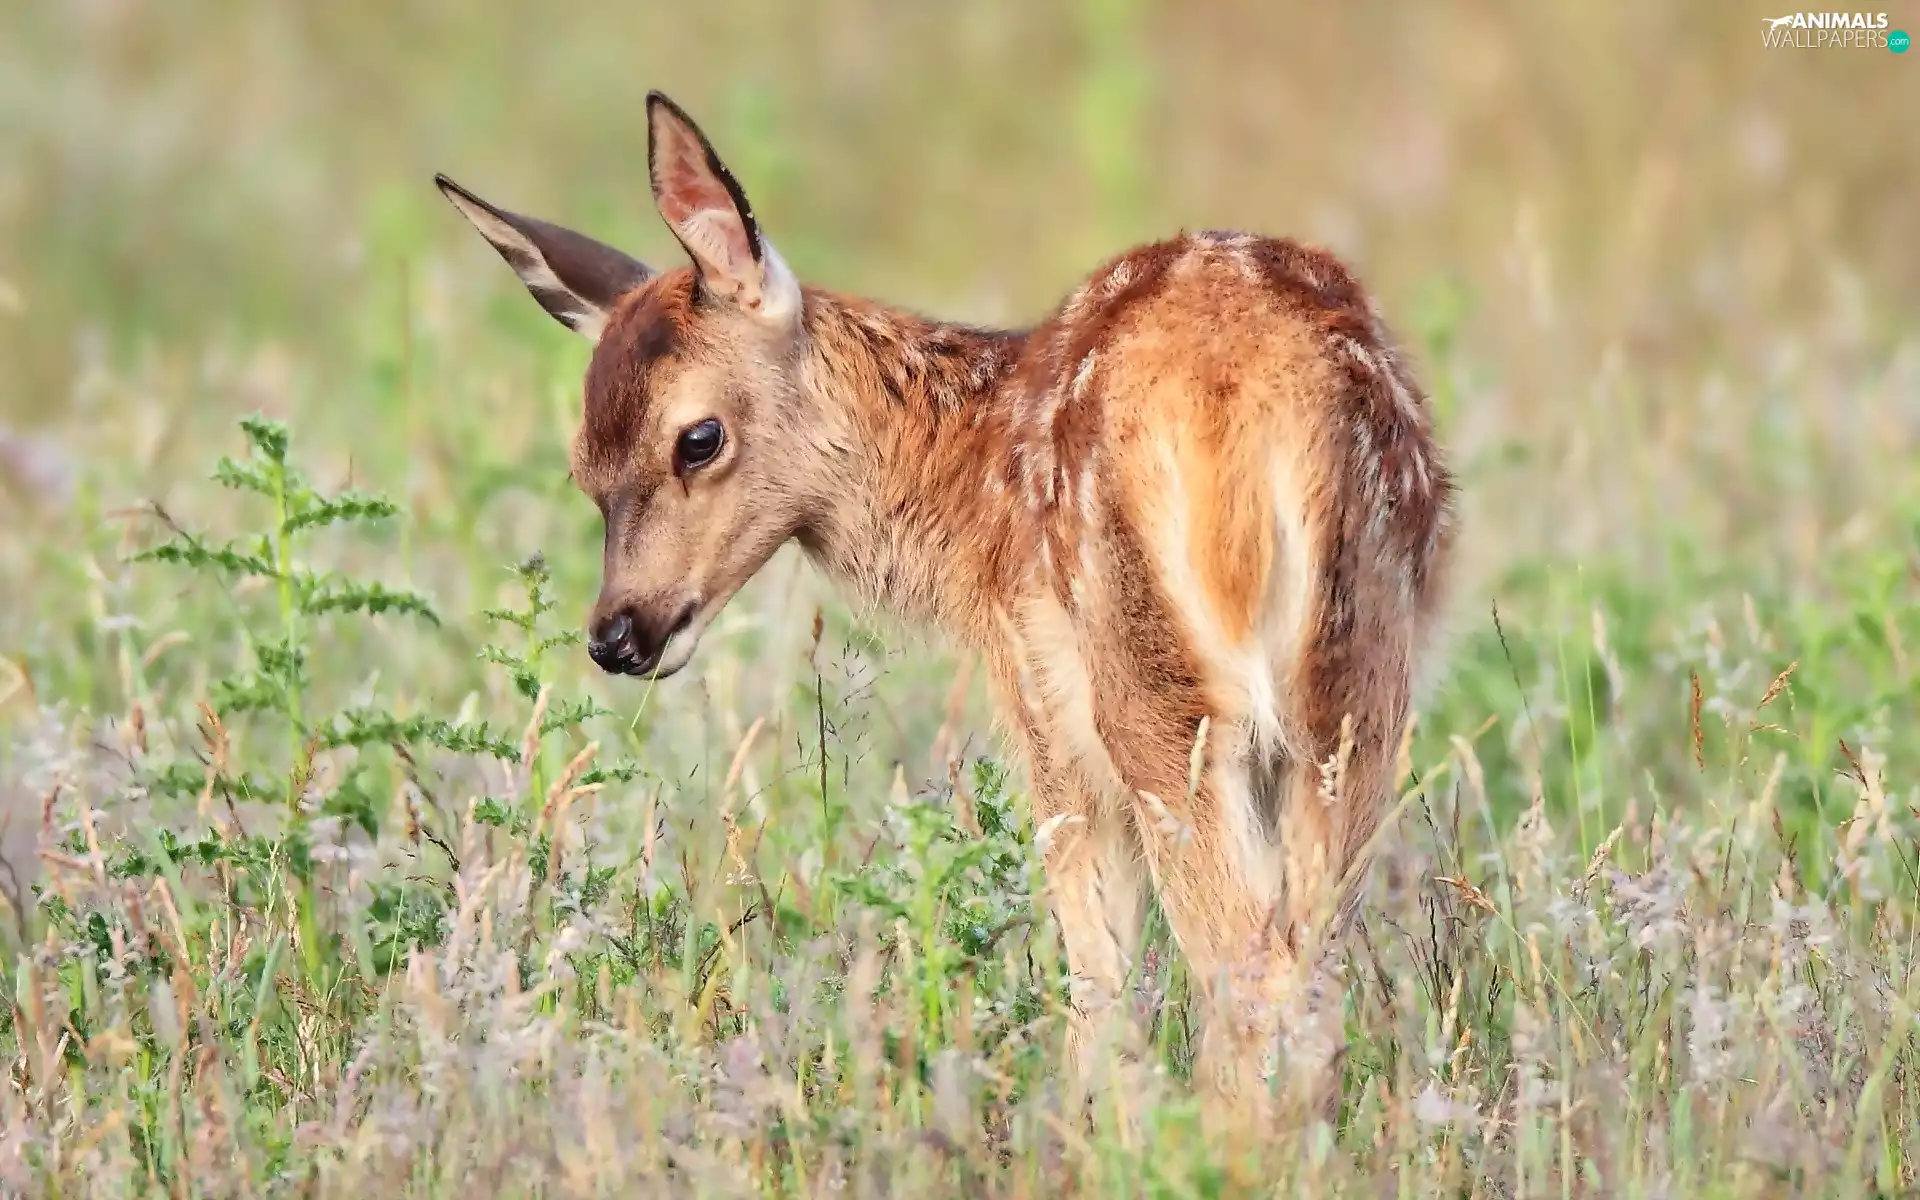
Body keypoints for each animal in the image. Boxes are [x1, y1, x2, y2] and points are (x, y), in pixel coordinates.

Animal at [437, 91, 1453, 1127]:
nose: (617, 635)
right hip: (1357, 687)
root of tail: (1249, 400)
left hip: (1153, 690)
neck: (965, 479)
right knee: (1306, 970)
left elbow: (1097, 975)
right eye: (581, 468)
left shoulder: (1039, 699)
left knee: (1245, 968)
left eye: (698, 437)